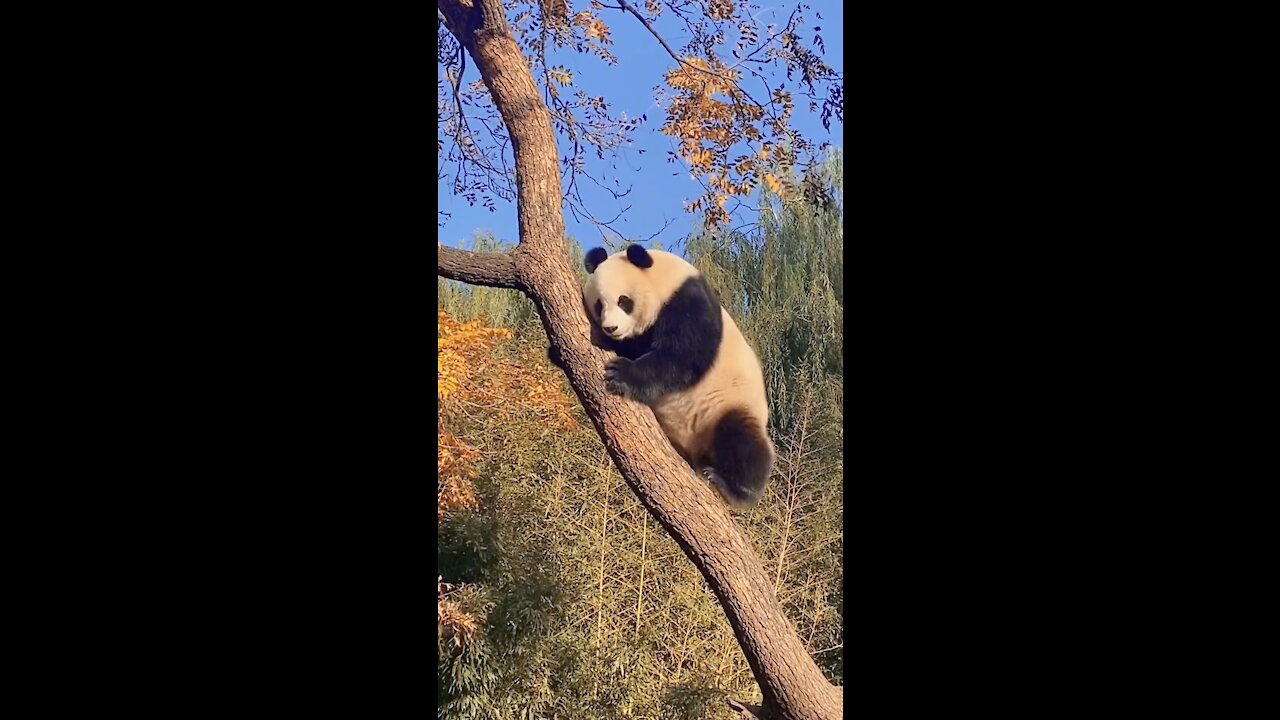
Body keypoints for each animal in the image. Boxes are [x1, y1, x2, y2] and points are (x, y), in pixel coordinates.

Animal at [581, 243, 775, 510]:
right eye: (599, 305)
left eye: (623, 301)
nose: (611, 328)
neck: (664, 279)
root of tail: (696, 451)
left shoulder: (686, 301)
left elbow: (683, 356)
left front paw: (621, 373)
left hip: (728, 406)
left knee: (741, 441)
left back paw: (734, 489)